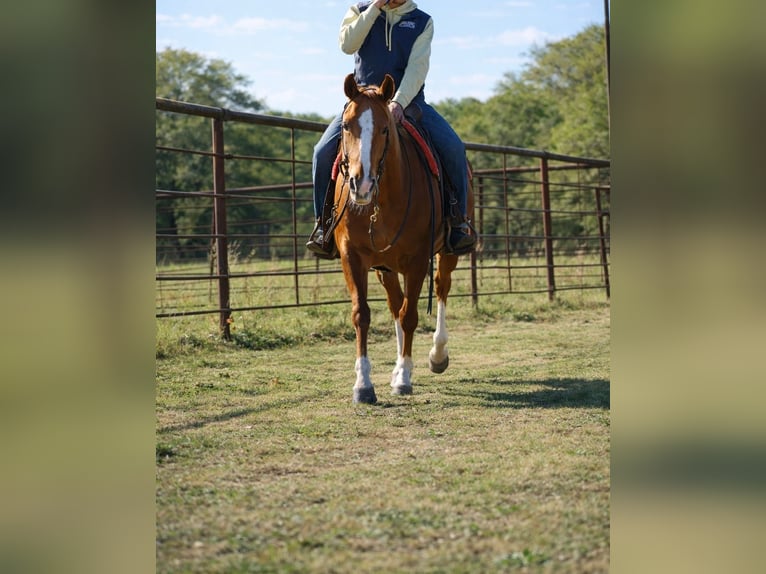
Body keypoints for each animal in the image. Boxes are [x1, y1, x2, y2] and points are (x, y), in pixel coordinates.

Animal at [332, 73, 474, 404]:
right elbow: (363, 314)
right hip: (385, 268)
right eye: (346, 126)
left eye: (385, 128)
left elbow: (410, 316)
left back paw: (437, 356)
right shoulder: (352, 256)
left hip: (447, 254)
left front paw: (405, 378)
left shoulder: (417, 259)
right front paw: (364, 384)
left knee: (441, 289)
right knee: (396, 304)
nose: (361, 183)